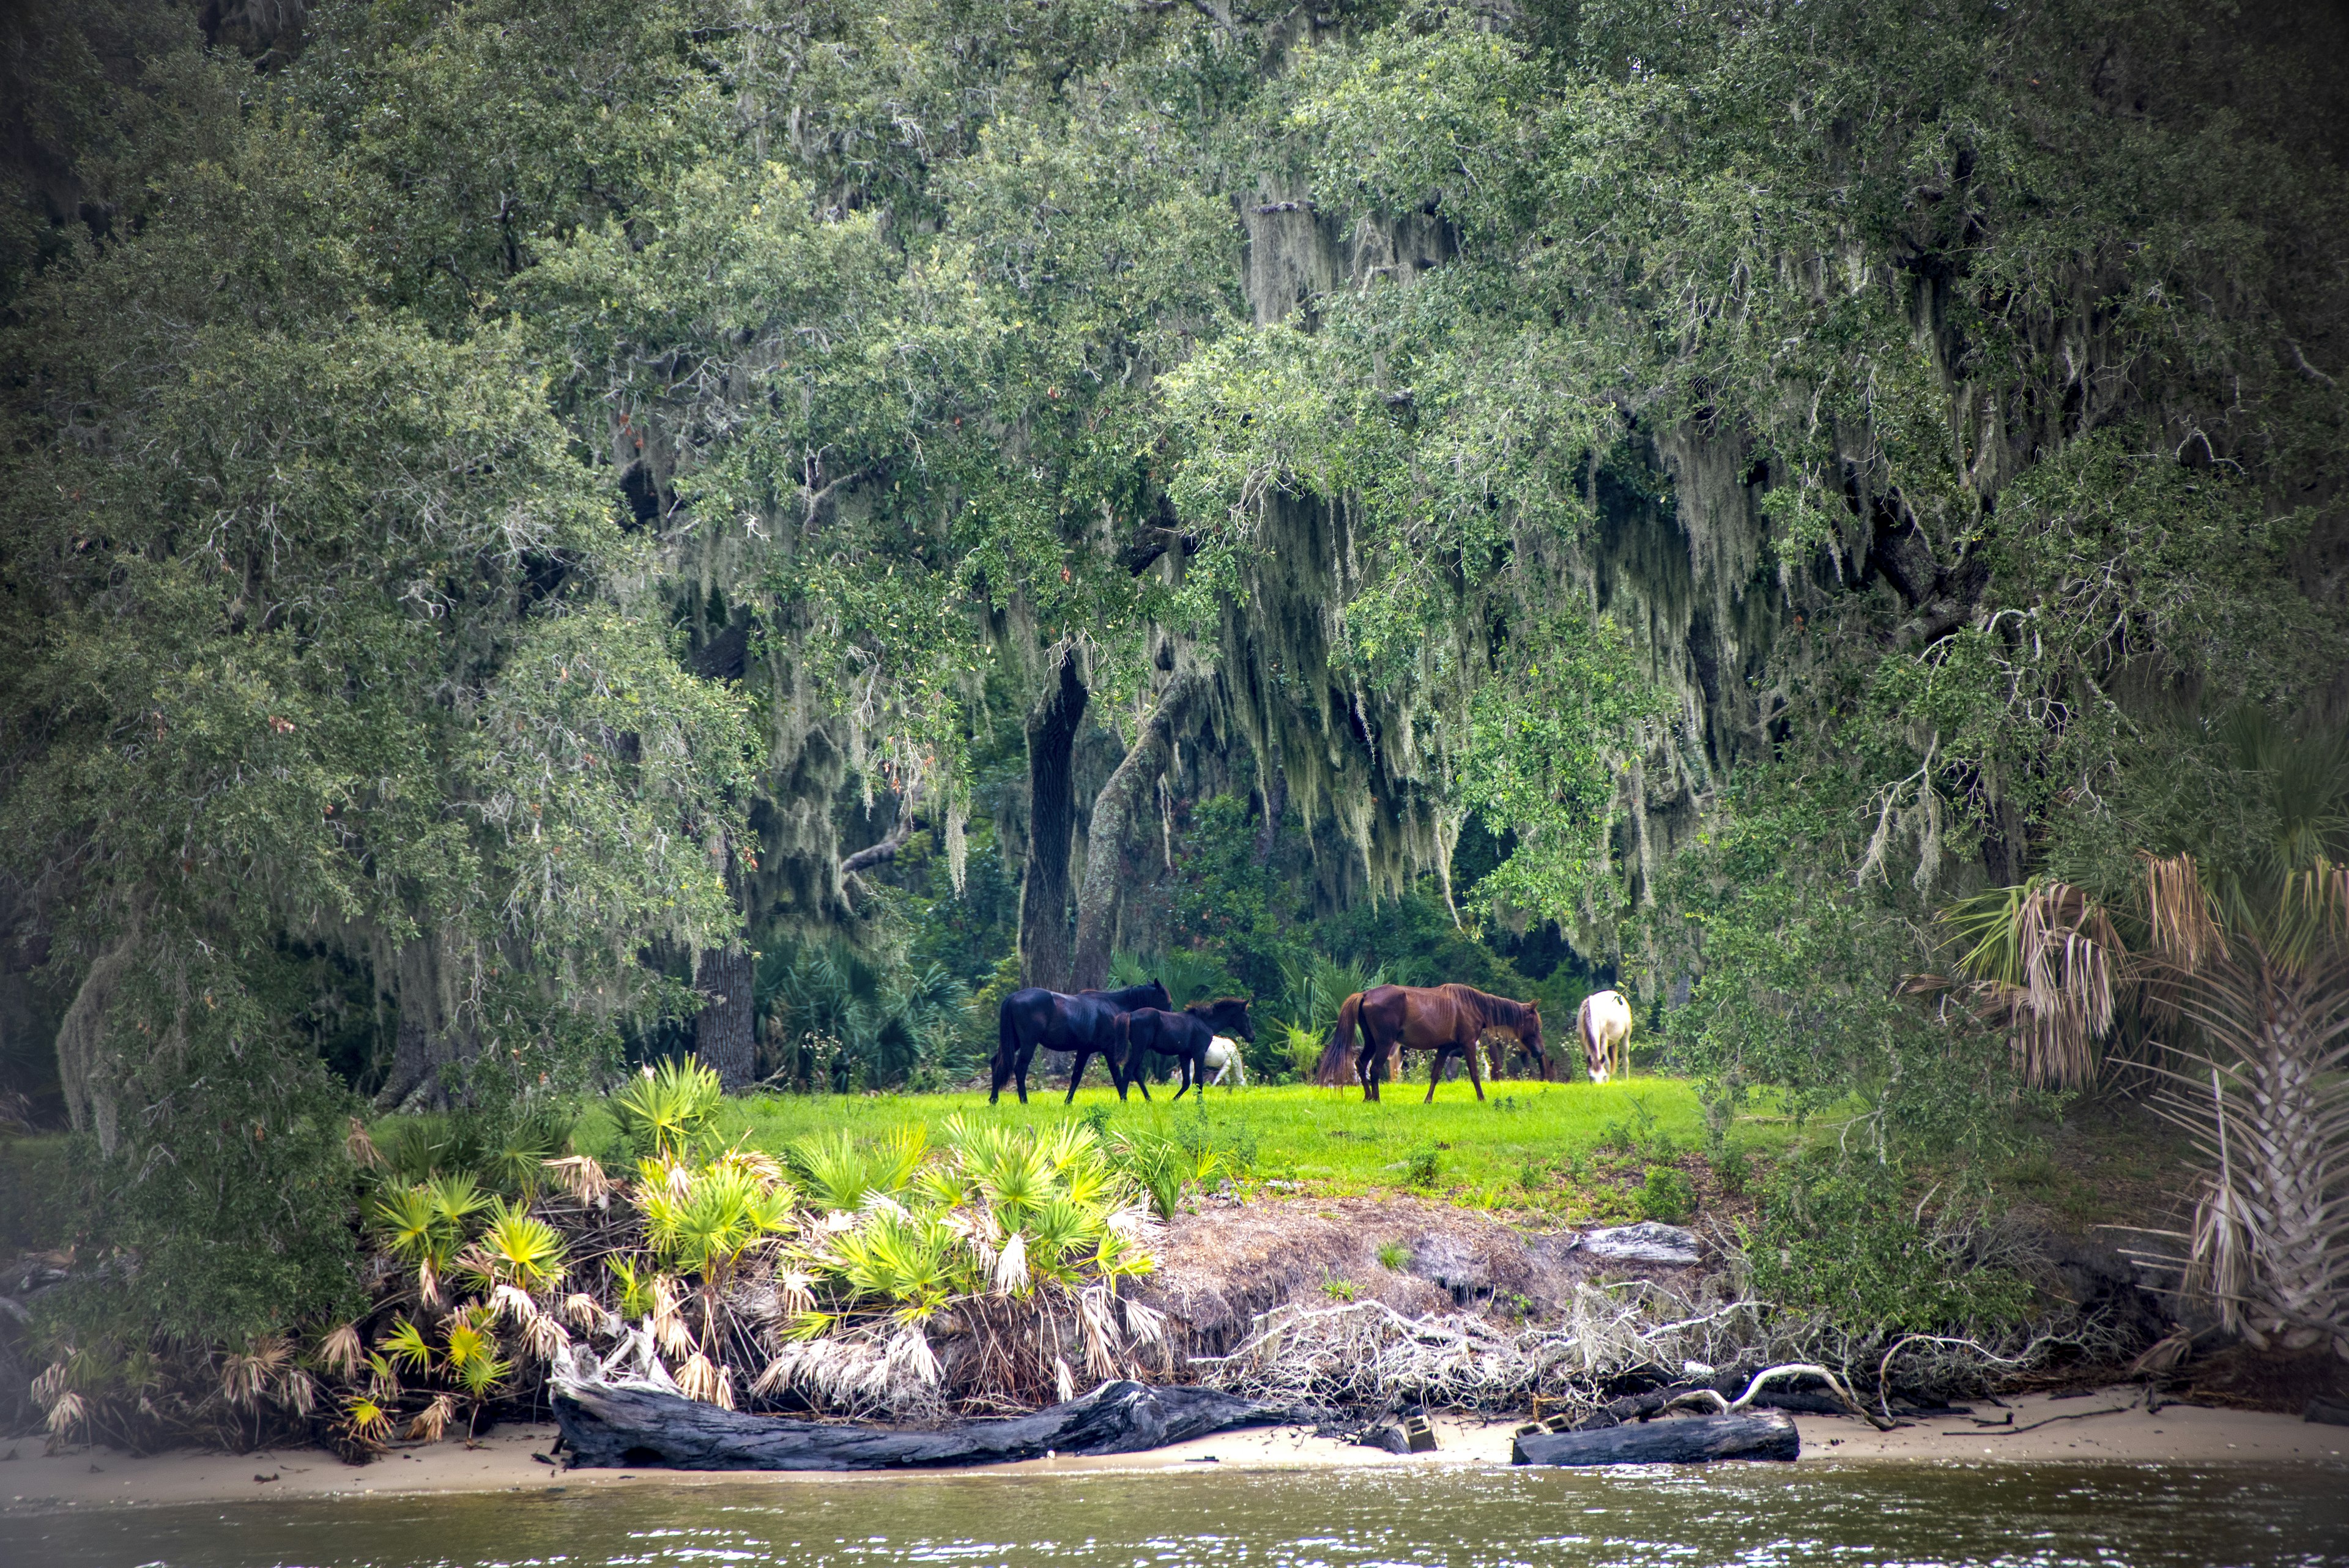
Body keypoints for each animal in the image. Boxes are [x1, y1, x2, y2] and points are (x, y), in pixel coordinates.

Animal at [991, 973, 1174, 1109]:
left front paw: (1068, 1102)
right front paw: (1124, 1100)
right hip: (1029, 1043)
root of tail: (1014, 996)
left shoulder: (1084, 1050)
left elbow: (1076, 1077)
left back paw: (993, 1099)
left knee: (996, 1063)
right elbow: (1117, 1076)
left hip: (1015, 1042)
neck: (1114, 1007)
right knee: (1020, 1069)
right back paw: (1024, 1101)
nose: (1172, 1016)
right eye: (1168, 1000)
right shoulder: (1109, 1050)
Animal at [1113, 992, 1249, 1105]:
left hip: (1141, 1049)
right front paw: (1199, 1103)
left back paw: (1149, 1099)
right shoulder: (1199, 1053)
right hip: (1140, 1048)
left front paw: (1173, 1100)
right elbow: (1198, 1080)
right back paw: (1124, 1100)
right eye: (1247, 1016)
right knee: (1128, 1069)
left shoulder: (1185, 1055)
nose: (1251, 1037)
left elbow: (1187, 1082)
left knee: (1135, 1072)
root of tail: (1130, 1014)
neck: (1205, 1022)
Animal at [1315, 983, 1550, 1105]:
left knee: (1361, 1064)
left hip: (1372, 1042)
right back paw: (1377, 1099)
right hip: (1384, 1043)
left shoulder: (1445, 1049)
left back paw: (1368, 1098)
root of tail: (1365, 994)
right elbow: (1475, 1075)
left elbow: (1436, 1075)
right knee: (1374, 1069)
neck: (1473, 1005)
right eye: (1537, 1026)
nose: (1541, 1051)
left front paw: (1428, 1100)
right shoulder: (1467, 1045)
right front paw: (1482, 1099)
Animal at [1578, 987, 1635, 1086]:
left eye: (1603, 1076)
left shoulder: (1604, 1039)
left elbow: (1607, 1064)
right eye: (1592, 1077)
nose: (1598, 1086)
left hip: (1626, 1037)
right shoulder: (1583, 1042)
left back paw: (1626, 1079)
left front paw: (1607, 1082)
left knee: (1625, 1061)